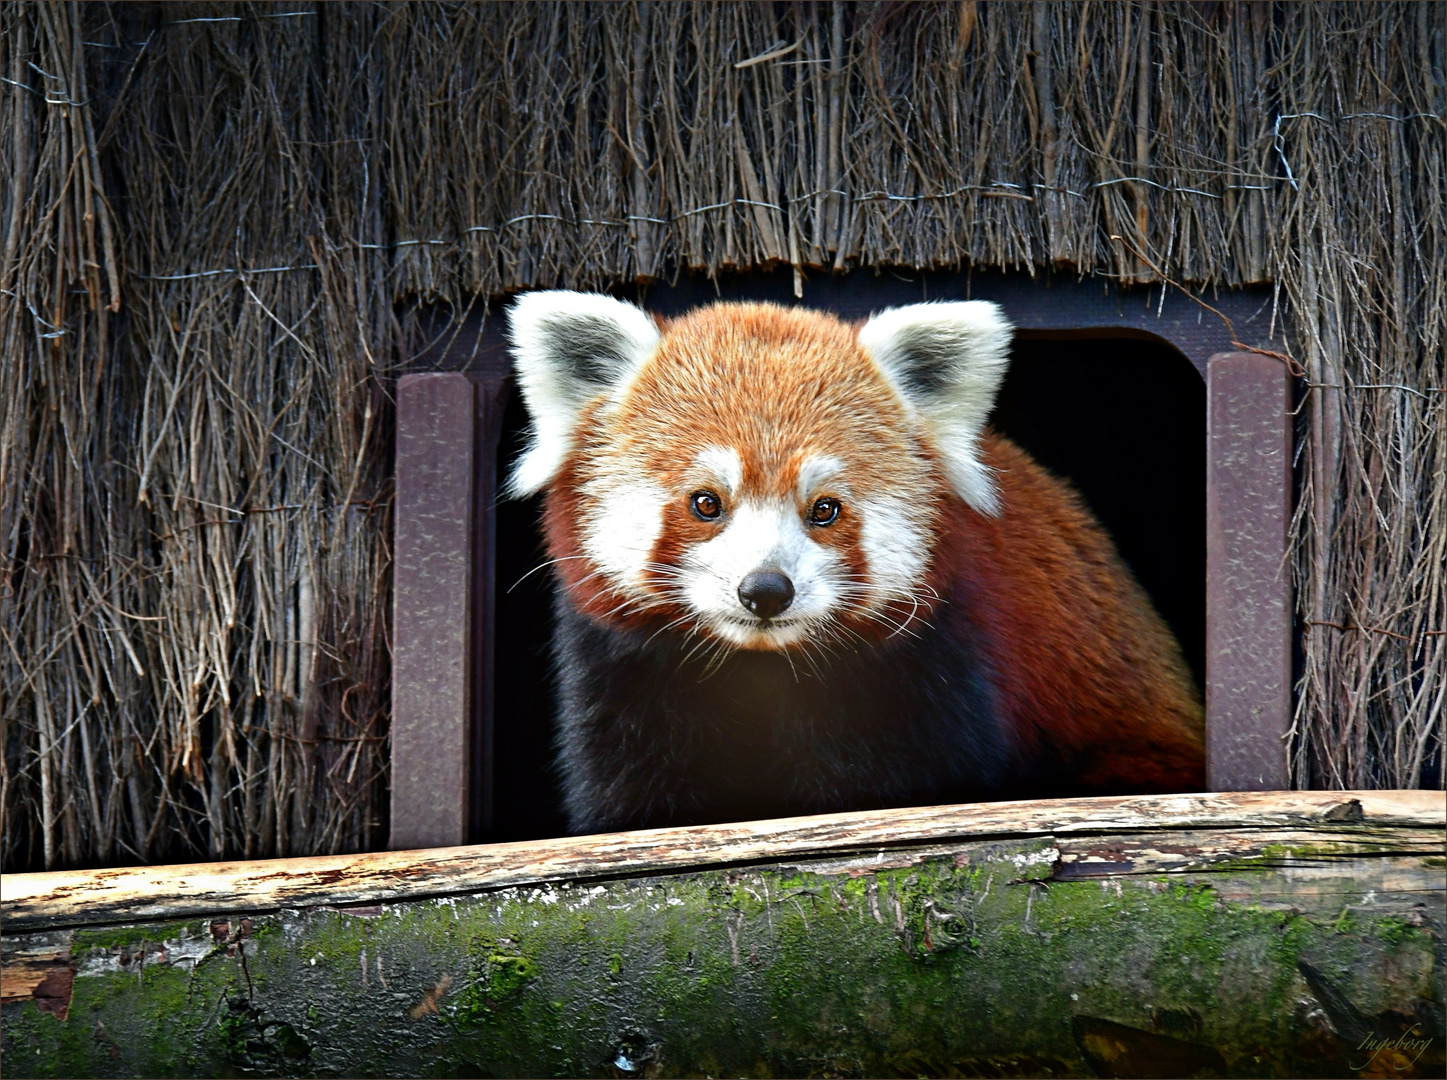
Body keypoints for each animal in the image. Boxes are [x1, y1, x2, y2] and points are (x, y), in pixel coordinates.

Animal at [509, 290, 1209, 828]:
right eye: (706, 503)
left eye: (824, 509)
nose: (766, 590)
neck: (759, 669)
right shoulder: (622, 672)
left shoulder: (931, 662)